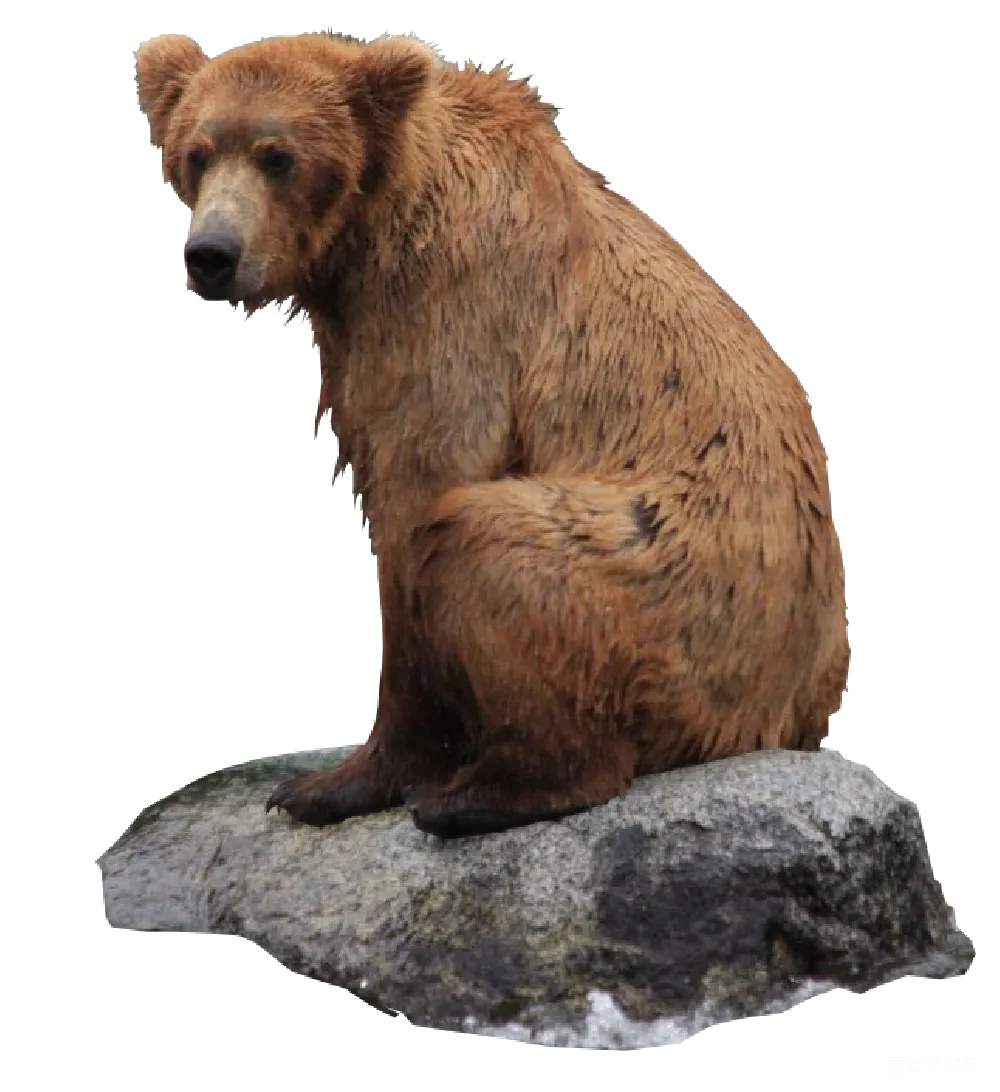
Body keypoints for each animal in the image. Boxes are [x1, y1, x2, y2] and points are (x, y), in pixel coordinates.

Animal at [135, 32, 849, 839]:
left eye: (277, 155)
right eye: (197, 153)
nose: (211, 254)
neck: (368, 232)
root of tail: (785, 718)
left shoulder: (450, 307)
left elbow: (421, 499)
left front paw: (332, 783)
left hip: (682, 597)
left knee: (487, 536)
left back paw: (480, 795)